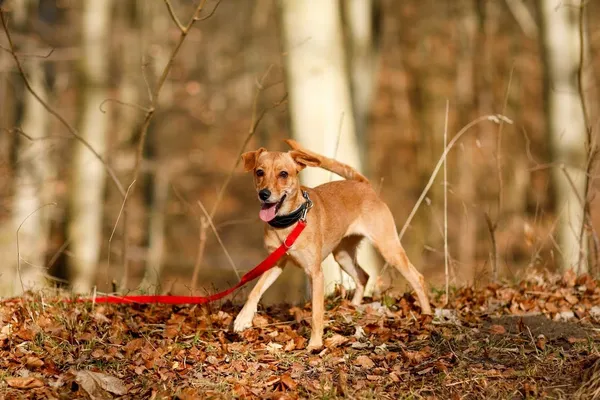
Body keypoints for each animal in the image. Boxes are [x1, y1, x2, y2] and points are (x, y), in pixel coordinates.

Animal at [233, 140, 432, 350]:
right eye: (259, 172)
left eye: (283, 174)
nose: (264, 194)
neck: (289, 223)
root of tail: (363, 185)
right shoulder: (275, 264)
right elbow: (255, 291)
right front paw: (243, 318)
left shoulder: (315, 273)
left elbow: (316, 314)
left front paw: (315, 344)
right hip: (343, 255)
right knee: (363, 276)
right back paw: (352, 307)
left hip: (389, 248)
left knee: (417, 278)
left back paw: (426, 315)